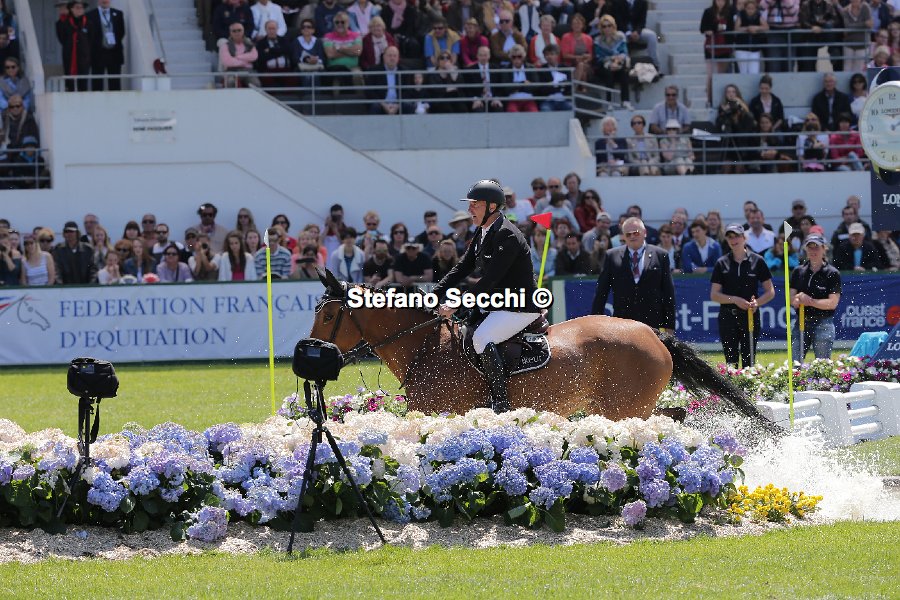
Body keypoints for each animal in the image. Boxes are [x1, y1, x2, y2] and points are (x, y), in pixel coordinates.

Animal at [309, 269, 774, 429]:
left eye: (330, 315)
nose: (310, 351)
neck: (426, 344)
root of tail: (653, 335)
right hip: (621, 406)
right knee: (673, 415)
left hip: (624, 407)